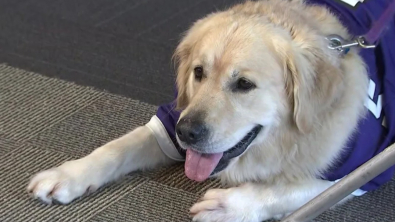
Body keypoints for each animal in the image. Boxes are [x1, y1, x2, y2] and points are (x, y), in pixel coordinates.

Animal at [27, 0, 372, 221]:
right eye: (198, 72)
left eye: (244, 84)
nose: (187, 133)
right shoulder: (169, 121)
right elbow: (119, 147)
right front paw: (69, 173)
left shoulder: (358, 167)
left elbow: (289, 188)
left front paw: (229, 207)